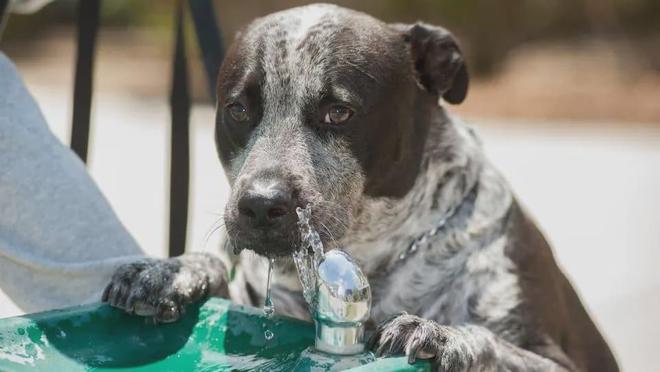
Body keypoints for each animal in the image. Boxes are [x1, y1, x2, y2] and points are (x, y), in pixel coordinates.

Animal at [102, 3, 620, 372]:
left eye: (339, 112)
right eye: (239, 109)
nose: (261, 205)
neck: (374, 255)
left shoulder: (554, 360)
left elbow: (490, 342)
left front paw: (441, 334)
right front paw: (171, 270)